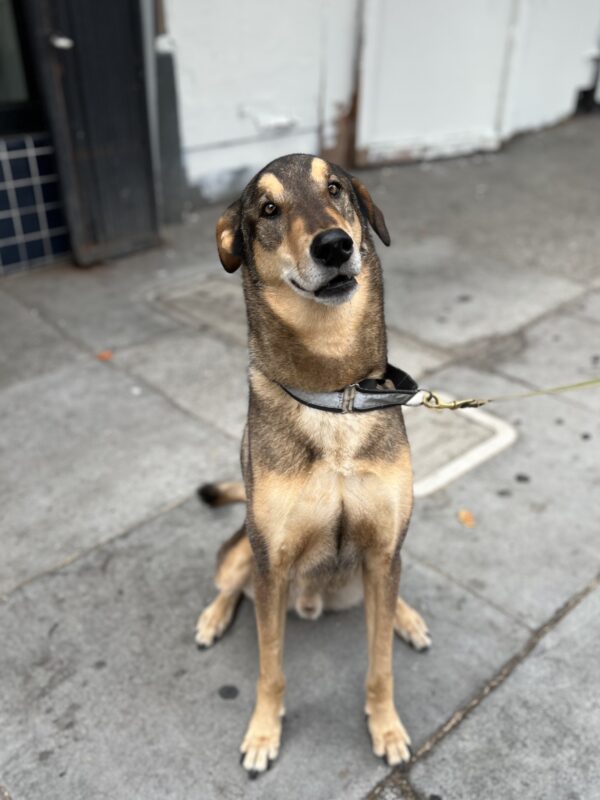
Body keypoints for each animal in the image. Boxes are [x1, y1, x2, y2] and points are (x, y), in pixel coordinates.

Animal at [197, 153, 432, 780]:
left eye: (335, 189)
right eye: (268, 209)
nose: (334, 245)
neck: (335, 396)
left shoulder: (382, 550)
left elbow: (379, 664)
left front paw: (386, 726)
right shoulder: (272, 565)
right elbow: (270, 667)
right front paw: (263, 732)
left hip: (377, 569)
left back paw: (406, 616)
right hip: (243, 551)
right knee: (229, 583)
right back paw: (212, 617)